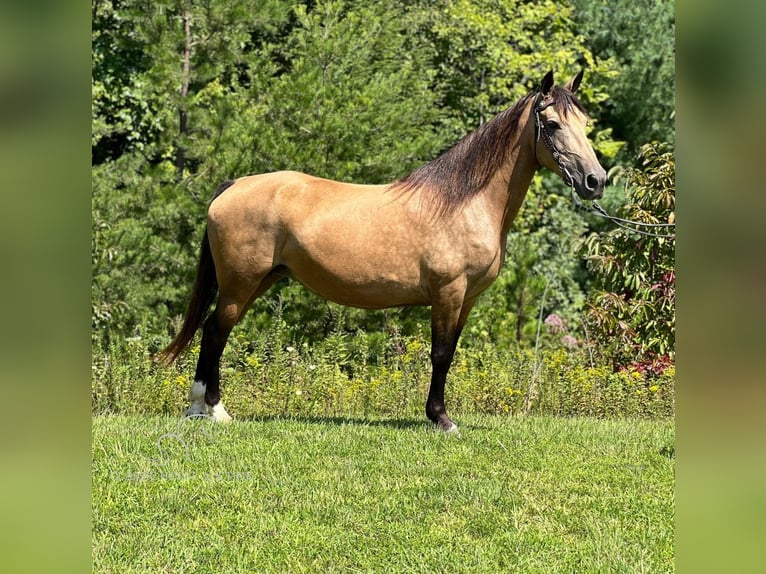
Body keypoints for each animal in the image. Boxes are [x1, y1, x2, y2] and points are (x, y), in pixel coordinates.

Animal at [160, 71, 608, 432]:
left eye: (586, 124)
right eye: (552, 124)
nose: (595, 180)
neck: (463, 203)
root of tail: (234, 185)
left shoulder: (466, 300)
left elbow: (450, 352)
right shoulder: (448, 293)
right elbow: (441, 354)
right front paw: (440, 419)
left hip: (258, 282)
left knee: (216, 332)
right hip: (240, 284)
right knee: (215, 332)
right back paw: (210, 411)